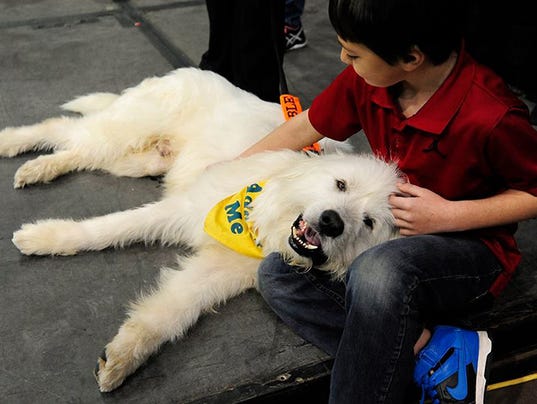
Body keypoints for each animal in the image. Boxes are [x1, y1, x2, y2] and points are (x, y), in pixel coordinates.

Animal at [0, 68, 398, 392]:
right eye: (340, 184)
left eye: (369, 222)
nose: (332, 222)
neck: (265, 219)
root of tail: (190, 71)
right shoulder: (182, 209)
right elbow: (104, 230)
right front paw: (44, 238)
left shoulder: (216, 271)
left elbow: (169, 311)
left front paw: (124, 357)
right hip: (124, 132)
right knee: (60, 128)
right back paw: (12, 143)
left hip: (139, 160)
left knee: (78, 151)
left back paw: (41, 167)